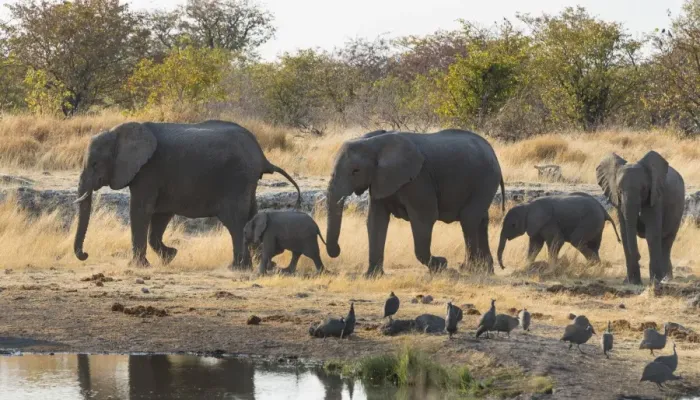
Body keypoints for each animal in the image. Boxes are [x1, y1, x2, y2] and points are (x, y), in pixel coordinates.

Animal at [73, 120, 300, 269]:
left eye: (95, 164)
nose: (85, 254)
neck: (118, 132)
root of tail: (262, 156)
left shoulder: (148, 170)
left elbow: (140, 210)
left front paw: (138, 266)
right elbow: (159, 215)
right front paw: (170, 256)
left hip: (236, 179)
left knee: (235, 221)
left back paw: (237, 268)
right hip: (247, 183)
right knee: (252, 215)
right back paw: (261, 266)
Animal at [325, 129, 505, 276]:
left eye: (355, 171)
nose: (338, 250)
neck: (374, 143)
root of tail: (492, 152)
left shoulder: (418, 180)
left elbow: (424, 219)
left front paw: (442, 265)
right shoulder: (380, 180)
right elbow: (376, 221)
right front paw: (371, 275)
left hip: (486, 179)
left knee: (468, 220)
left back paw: (468, 269)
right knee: (481, 220)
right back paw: (485, 270)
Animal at [596, 151, 685, 284]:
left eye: (643, 189)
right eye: (619, 191)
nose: (639, 256)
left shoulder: (656, 198)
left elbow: (652, 234)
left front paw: (655, 282)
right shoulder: (619, 203)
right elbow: (625, 234)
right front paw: (632, 282)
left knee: (667, 242)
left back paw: (666, 279)